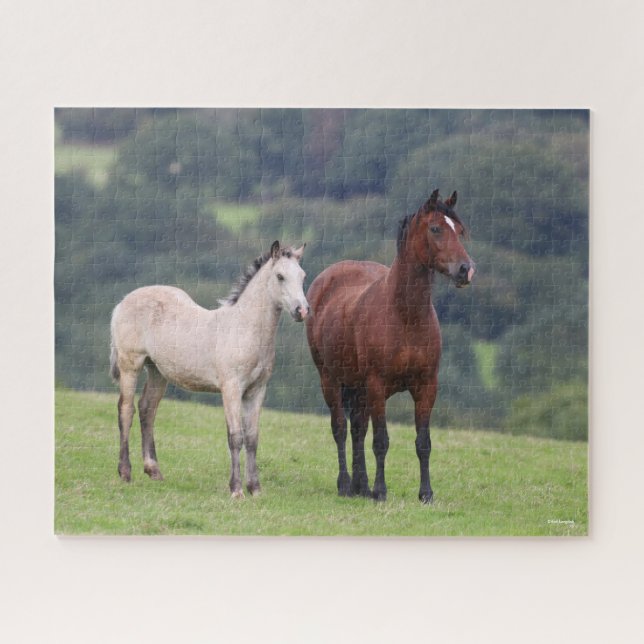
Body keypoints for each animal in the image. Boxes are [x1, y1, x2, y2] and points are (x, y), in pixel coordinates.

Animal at [109, 240, 309, 498]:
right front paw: (236, 490)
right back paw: (125, 472)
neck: (243, 329)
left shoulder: (256, 391)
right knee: (126, 410)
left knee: (147, 409)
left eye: (302, 276)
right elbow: (235, 437)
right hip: (130, 365)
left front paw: (255, 488)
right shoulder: (231, 389)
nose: (302, 311)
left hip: (157, 371)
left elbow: (252, 438)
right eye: (280, 276)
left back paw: (154, 470)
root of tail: (123, 301)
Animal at [306, 190, 475, 503]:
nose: (465, 270)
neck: (406, 316)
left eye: (459, 230)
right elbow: (381, 440)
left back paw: (360, 486)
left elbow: (423, 442)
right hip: (330, 379)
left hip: (358, 388)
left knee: (358, 428)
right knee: (341, 428)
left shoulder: (426, 386)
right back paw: (346, 485)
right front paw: (381, 491)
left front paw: (426, 494)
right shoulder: (377, 385)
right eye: (436, 228)